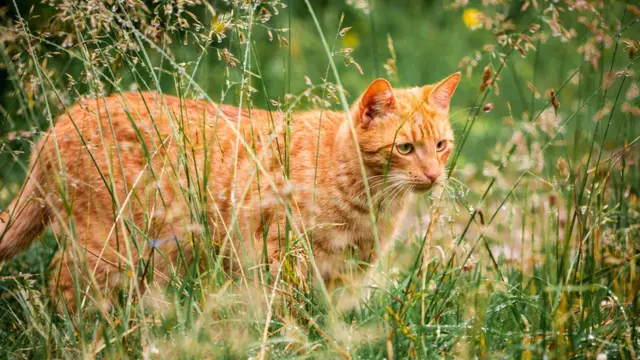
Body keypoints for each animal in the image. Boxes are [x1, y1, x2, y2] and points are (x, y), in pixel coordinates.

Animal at [0, 71, 460, 310]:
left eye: (441, 145)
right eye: (405, 148)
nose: (433, 176)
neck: (370, 202)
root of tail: (60, 120)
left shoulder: (346, 273)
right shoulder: (281, 257)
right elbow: (290, 314)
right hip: (108, 243)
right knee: (61, 281)